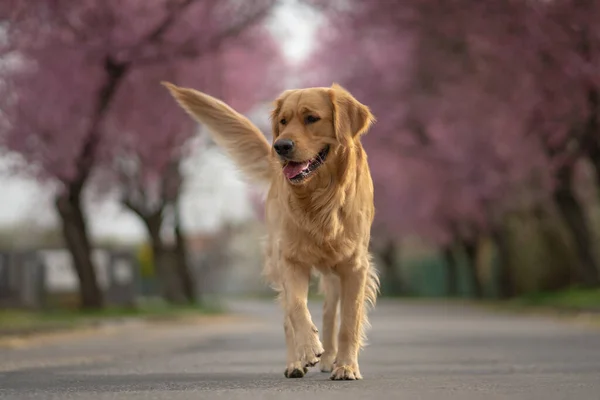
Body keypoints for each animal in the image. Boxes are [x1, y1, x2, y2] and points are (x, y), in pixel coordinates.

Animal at [163, 82, 380, 382]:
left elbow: (349, 320)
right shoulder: (289, 258)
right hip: (278, 258)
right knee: (289, 316)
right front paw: (309, 348)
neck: (320, 198)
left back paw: (331, 359)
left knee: (329, 310)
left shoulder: (355, 265)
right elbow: (297, 308)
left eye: (311, 118)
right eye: (283, 122)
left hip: (335, 271)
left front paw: (347, 366)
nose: (280, 146)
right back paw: (296, 363)